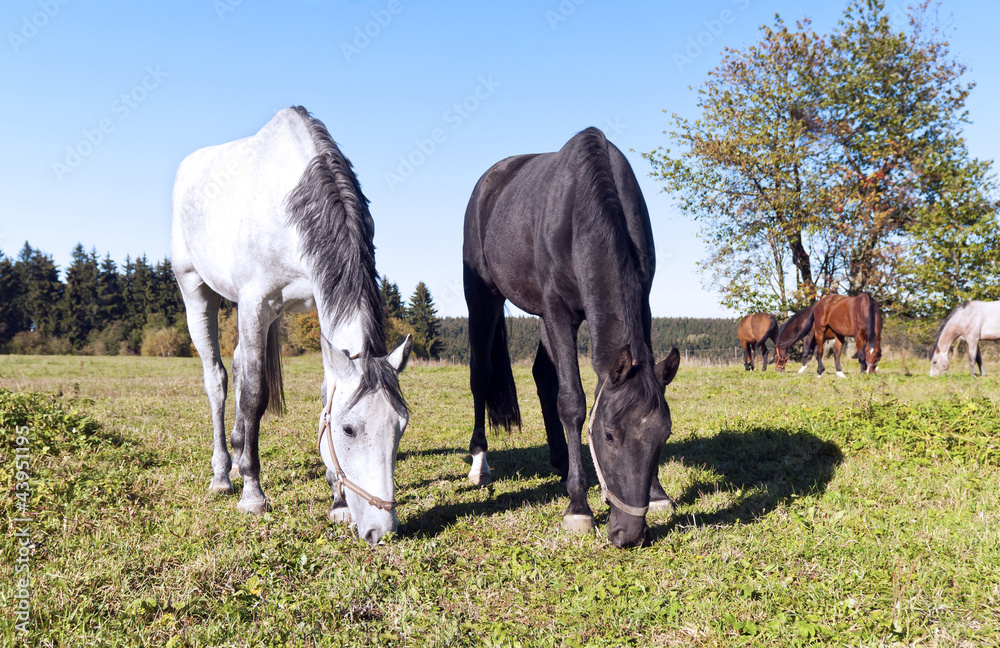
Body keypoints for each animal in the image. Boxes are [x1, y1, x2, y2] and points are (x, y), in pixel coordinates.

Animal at [171, 106, 412, 545]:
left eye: (401, 426)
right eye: (349, 430)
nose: (381, 530)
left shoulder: (315, 301)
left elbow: (321, 390)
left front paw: (338, 503)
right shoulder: (255, 304)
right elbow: (254, 396)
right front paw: (252, 492)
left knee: (237, 364)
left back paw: (237, 451)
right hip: (196, 290)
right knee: (217, 378)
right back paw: (223, 473)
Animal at [463, 127, 680, 549]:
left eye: (664, 436)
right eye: (609, 435)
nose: (630, 534)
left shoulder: (641, 301)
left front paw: (658, 493)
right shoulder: (558, 312)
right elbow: (573, 403)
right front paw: (578, 508)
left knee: (542, 374)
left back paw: (562, 460)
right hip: (484, 297)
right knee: (481, 374)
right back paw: (480, 464)